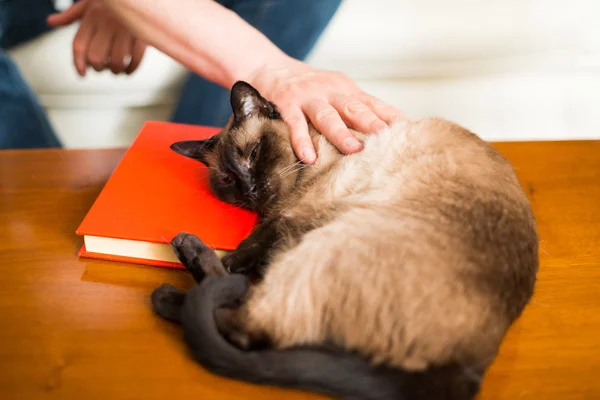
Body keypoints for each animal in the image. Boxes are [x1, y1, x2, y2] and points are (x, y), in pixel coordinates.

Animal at [151, 81, 540, 400]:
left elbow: (251, 245)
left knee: (242, 323)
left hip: (325, 242)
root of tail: (472, 368)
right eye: (228, 179)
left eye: (255, 154)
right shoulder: (291, 221)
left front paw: (228, 257)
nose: (251, 189)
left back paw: (176, 276)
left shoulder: (295, 215)